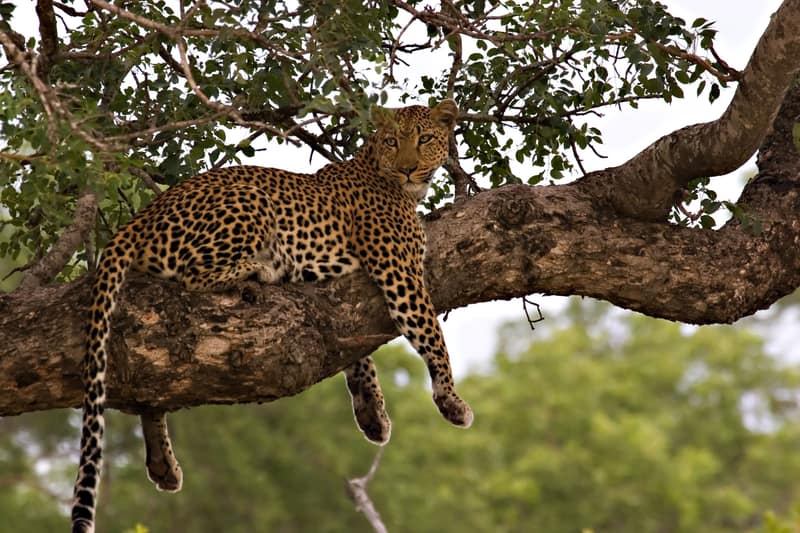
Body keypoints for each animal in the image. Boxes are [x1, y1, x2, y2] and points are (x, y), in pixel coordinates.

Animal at [70, 99, 474, 533]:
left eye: (425, 139)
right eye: (393, 141)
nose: (408, 167)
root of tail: (141, 216)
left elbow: (356, 352)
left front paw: (372, 413)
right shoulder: (400, 273)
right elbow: (432, 337)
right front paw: (452, 401)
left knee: (156, 382)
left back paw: (162, 463)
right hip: (249, 200)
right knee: (195, 275)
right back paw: (266, 267)